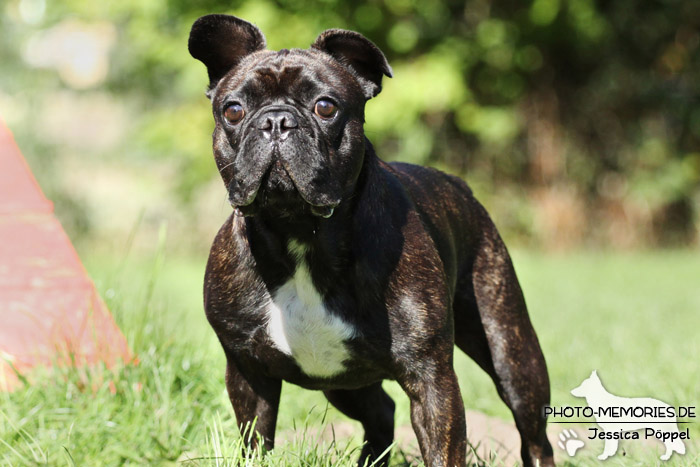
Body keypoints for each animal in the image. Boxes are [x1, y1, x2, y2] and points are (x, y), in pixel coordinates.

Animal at [189, 14, 556, 467]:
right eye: (234, 110)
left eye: (325, 106)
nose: (276, 121)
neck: (300, 234)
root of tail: (461, 188)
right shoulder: (248, 374)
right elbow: (255, 442)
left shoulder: (432, 380)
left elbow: (443, 449)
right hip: (342, 383)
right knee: (380, 411)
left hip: (512, 353)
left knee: (533, 433)